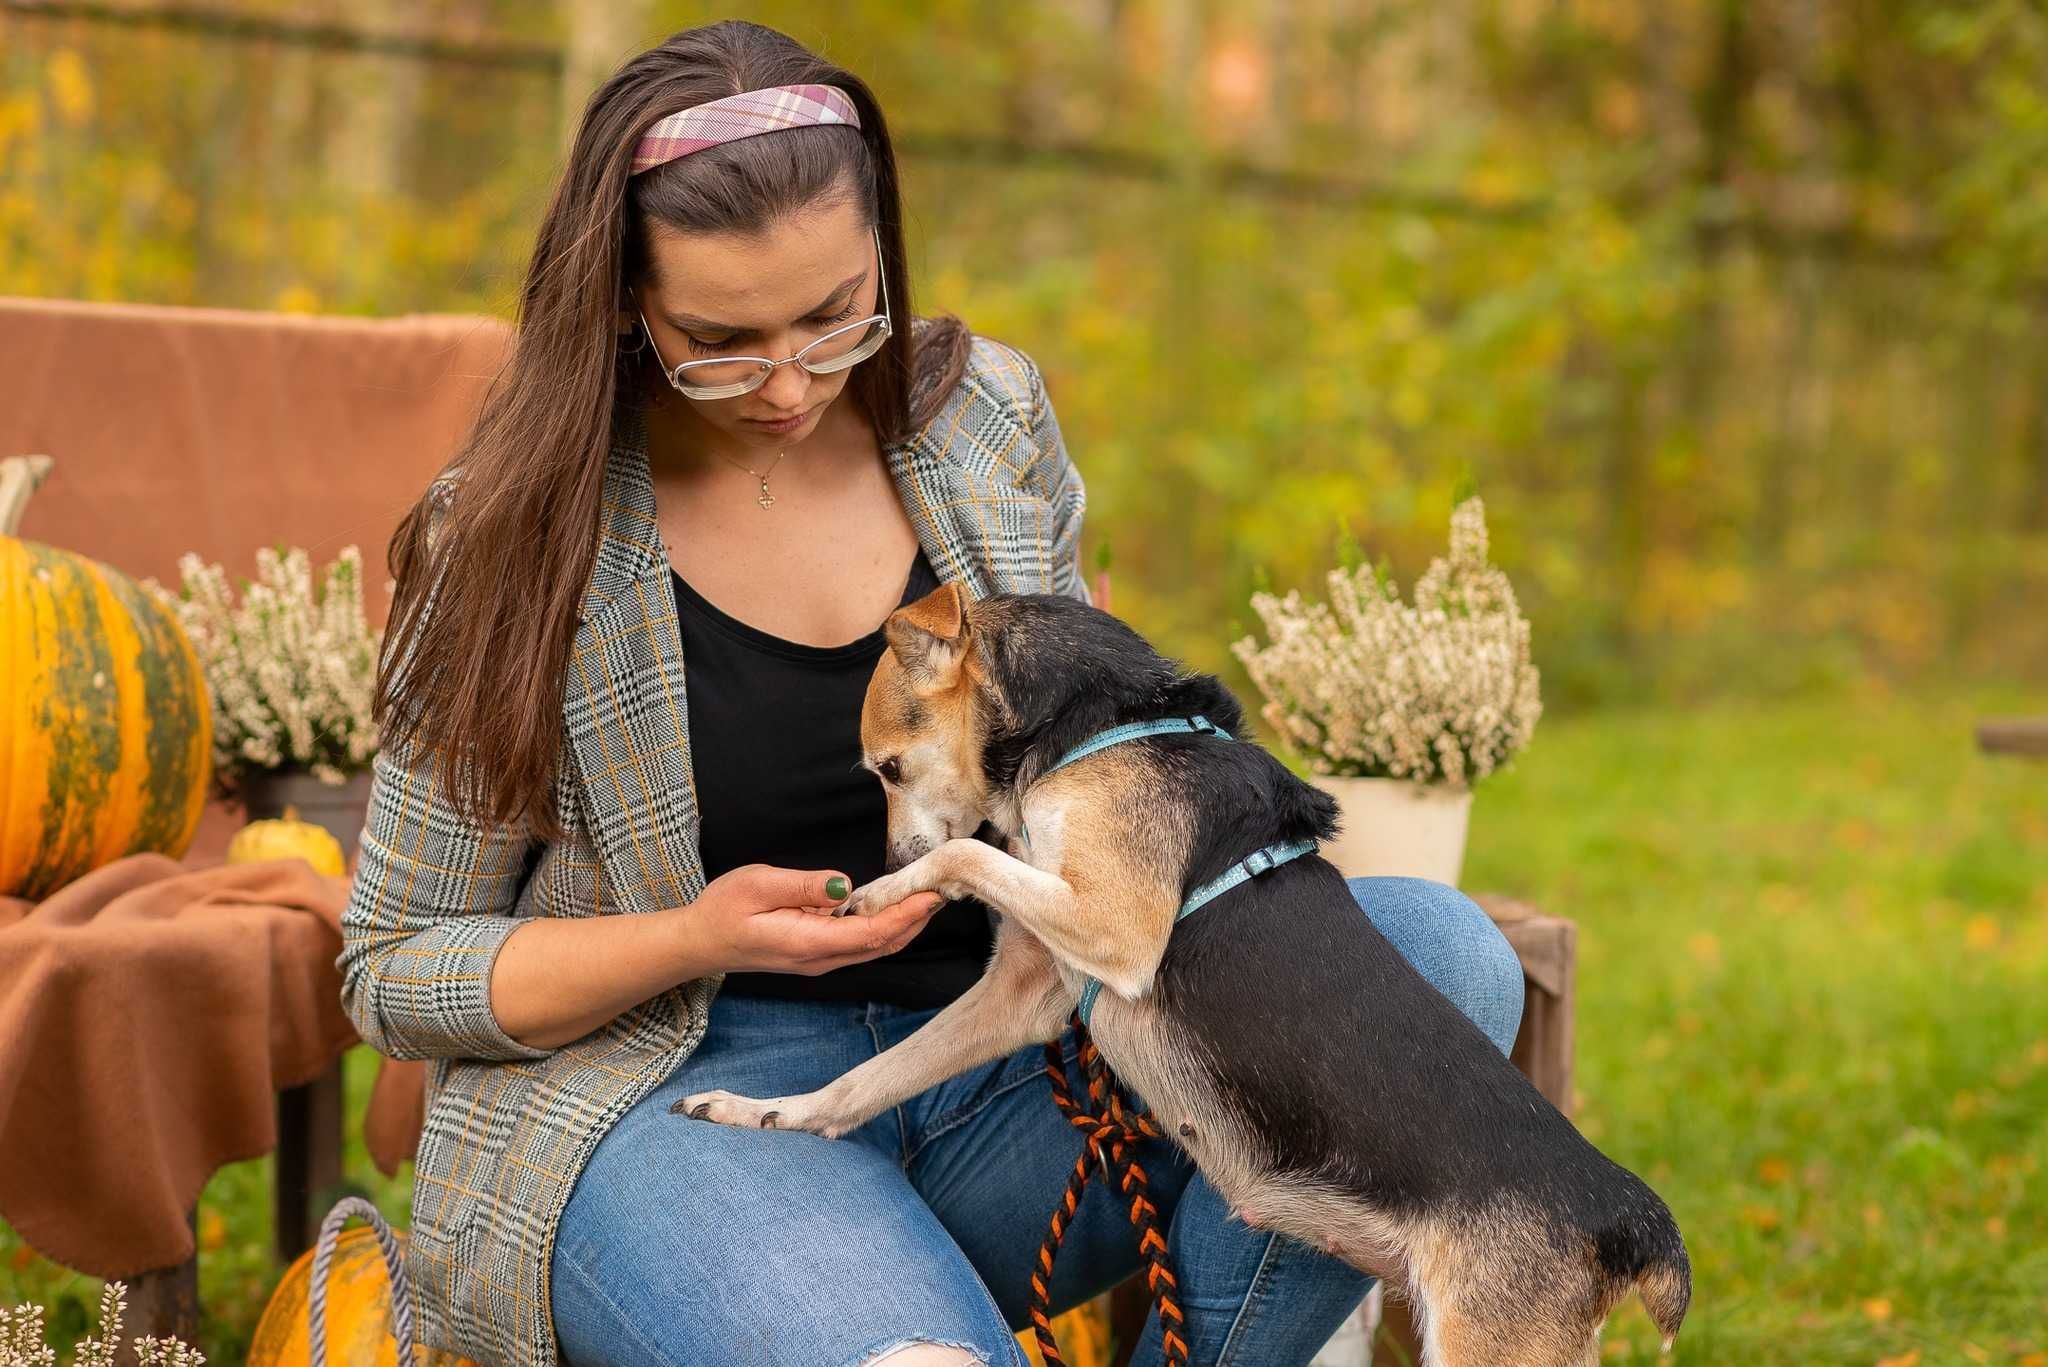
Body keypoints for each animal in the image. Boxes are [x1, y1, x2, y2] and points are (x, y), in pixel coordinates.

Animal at [679, 582, 1687, 1360]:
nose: (886, 860)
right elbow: (867, 1078)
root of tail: (1628, 1219)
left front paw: (884, 895)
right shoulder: (1028, 989)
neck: (1103, 728)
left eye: (888, 768)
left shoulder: (1116, 928)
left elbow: (969, 854)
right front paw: (770, 1113)